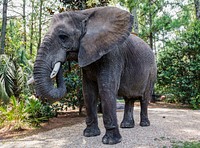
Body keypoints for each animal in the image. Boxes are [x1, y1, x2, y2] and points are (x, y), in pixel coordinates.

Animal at [30, 6, 156, 145]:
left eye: (63, 37)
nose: (60, 64)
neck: (82, 14)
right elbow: (88, 92)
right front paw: (90, 134)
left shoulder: (113, 55)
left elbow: (106, 89)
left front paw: (110, 141)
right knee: (129, 98)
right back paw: (127, 126)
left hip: (152, 72)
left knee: (144, 98)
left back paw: (144, 124)